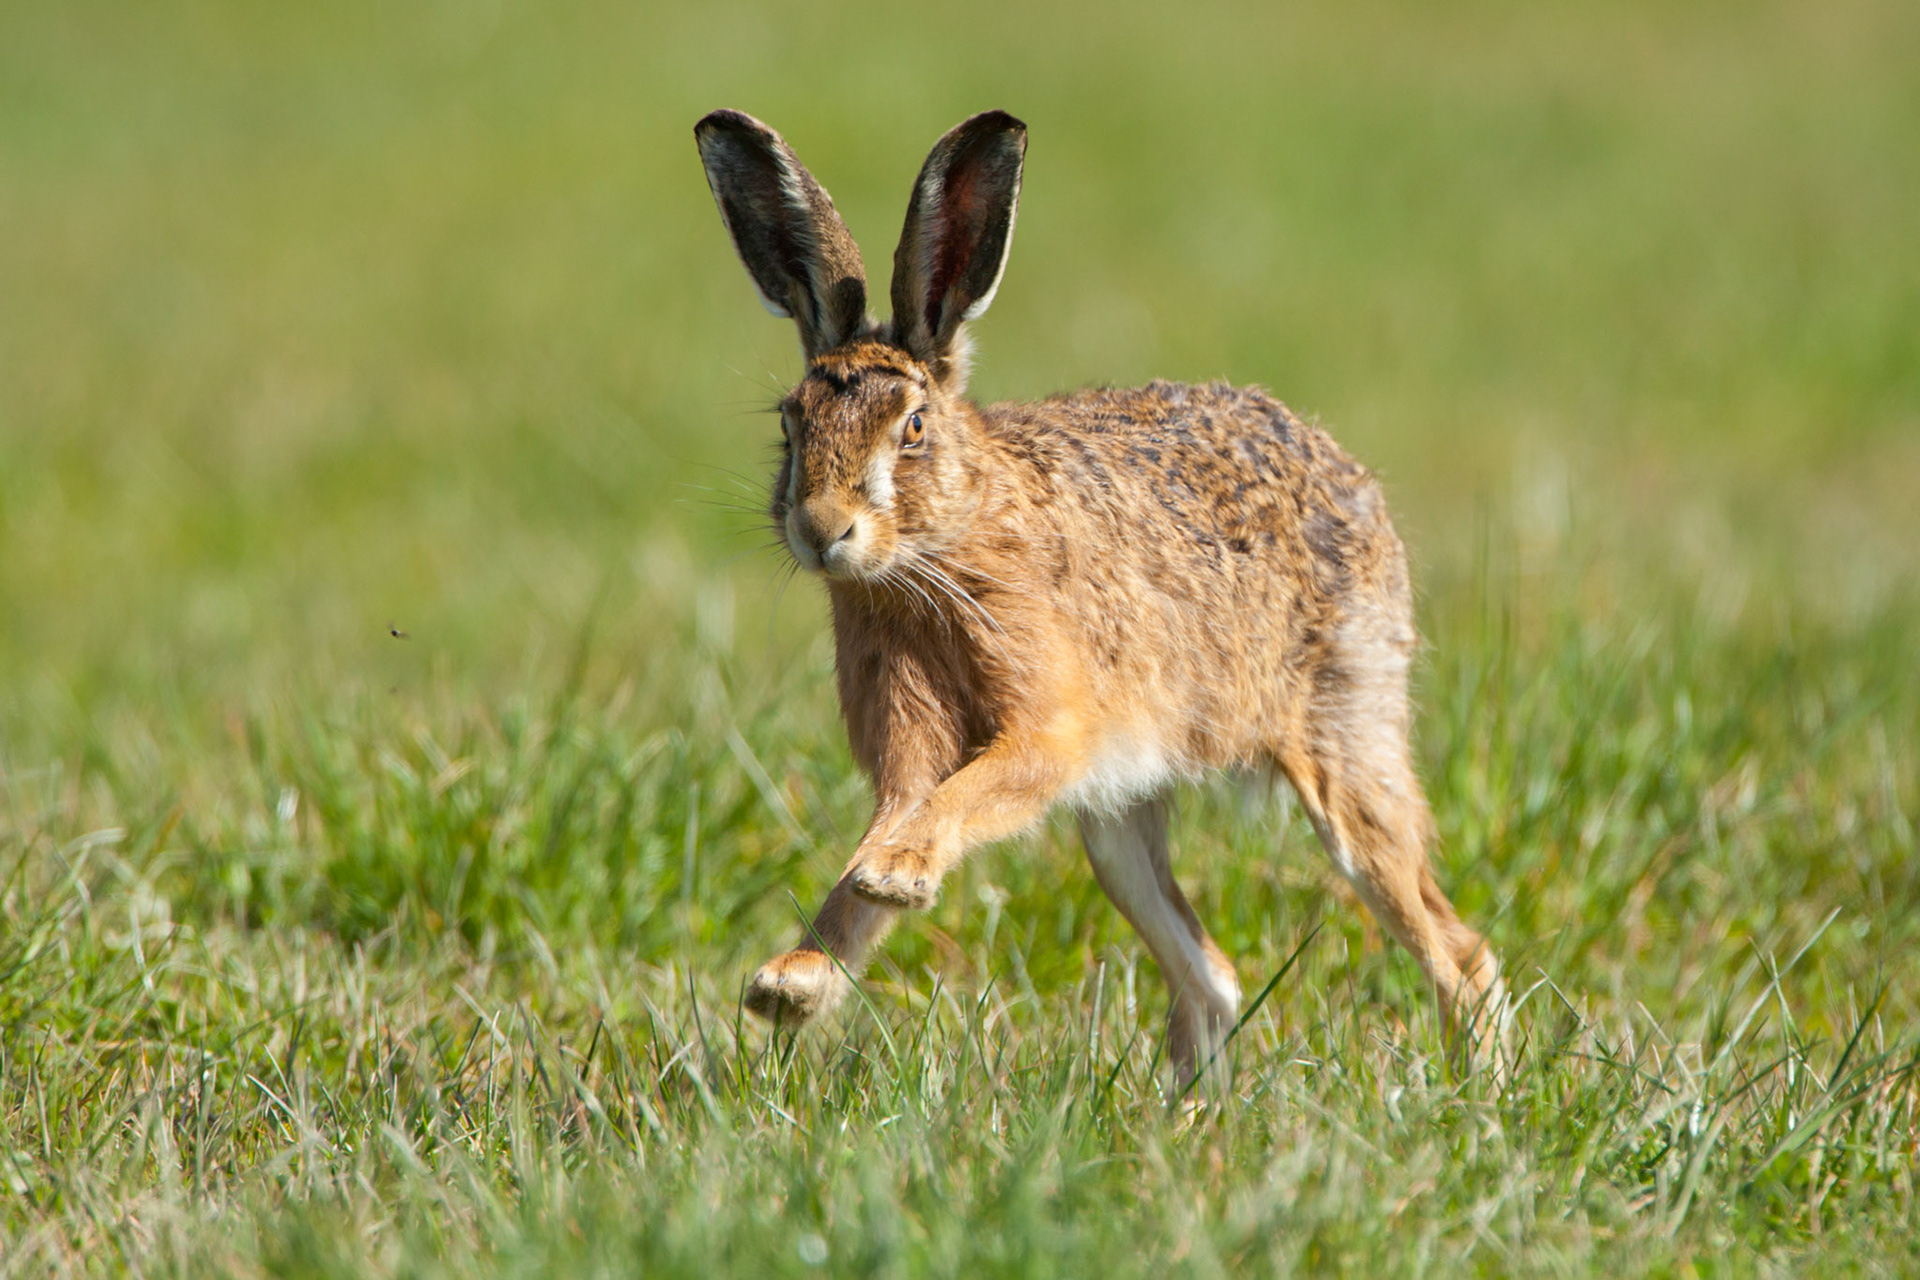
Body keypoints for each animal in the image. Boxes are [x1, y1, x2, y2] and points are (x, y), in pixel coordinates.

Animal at [694, 107, 1506, 1082]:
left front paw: (892, 879)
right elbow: (894, 821)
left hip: (1344, 745)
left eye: (913, 427)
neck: (940, 549)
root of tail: (1351, 477)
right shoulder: (910, 734)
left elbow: (958, 800)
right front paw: (793, 982)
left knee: (1455, 950)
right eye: (791, 424)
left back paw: (1481, 1094)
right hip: (1116, 824)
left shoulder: (1052, 728)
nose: (821, 530)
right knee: (1212, 976)